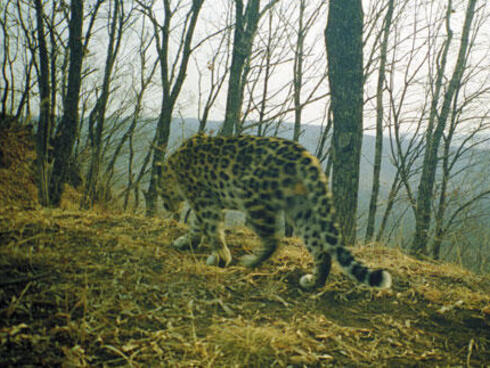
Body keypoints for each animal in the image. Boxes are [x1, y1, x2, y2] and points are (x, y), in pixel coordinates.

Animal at [159, 133, 392, 290]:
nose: (166, 206)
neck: (174, 166)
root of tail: (304, 155)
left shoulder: (204, 200)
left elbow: (213, 230)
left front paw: (221, 258)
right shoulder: (208, 201)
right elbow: (197, 225)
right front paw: (186, 241)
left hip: (254, 200)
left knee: (273, 241)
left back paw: (250, 262)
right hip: (302, 209)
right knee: (321, 250)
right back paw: (313, 282)